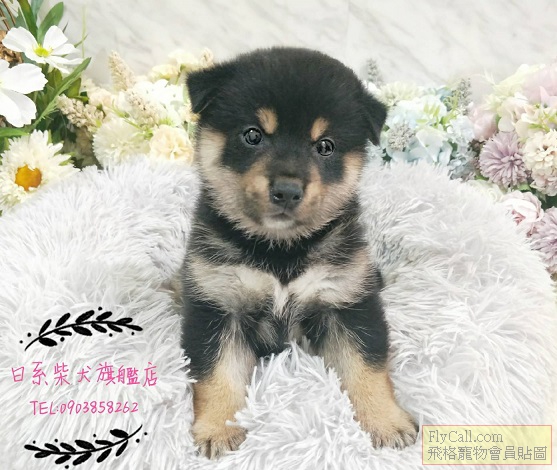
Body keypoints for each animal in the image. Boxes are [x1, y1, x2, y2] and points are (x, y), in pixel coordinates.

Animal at [180, 47, 417, 459]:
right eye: (253, 135)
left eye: (325, 146)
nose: (288, 190)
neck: (280, 250)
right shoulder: (217, 306)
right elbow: (218, 375)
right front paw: (217, 430)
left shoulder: (348, 303)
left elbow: (367, 369)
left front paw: (386, 422)